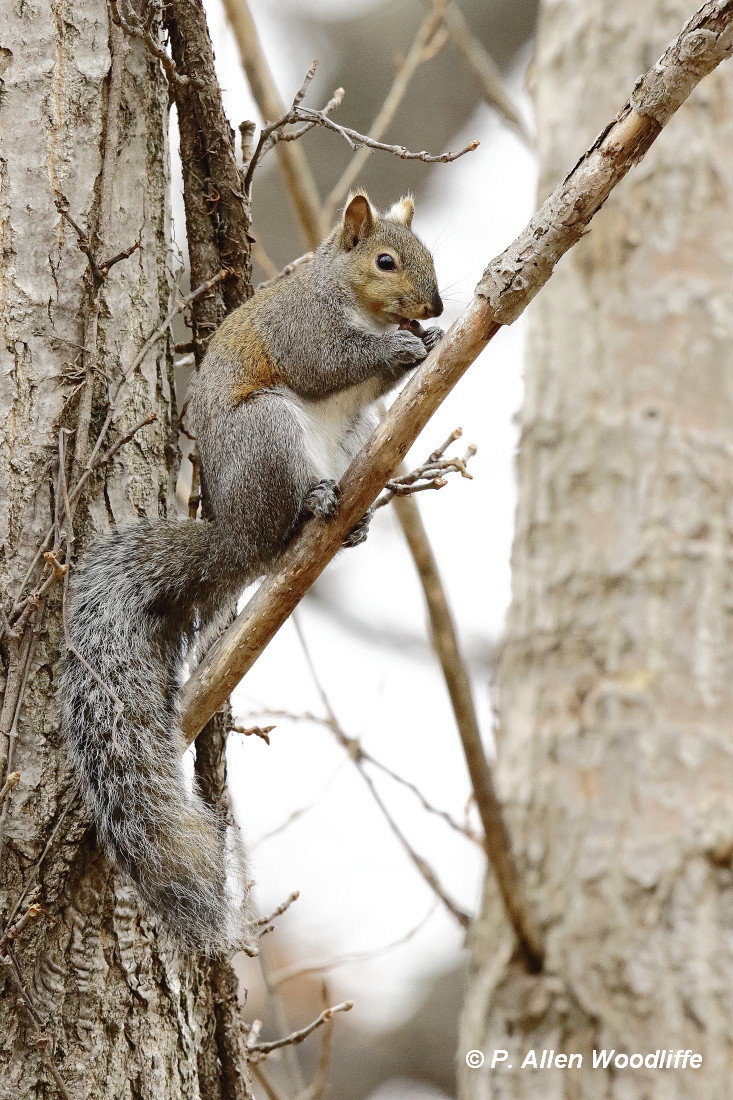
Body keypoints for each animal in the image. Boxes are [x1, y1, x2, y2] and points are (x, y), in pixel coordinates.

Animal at [58, 193, 440, 950]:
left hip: (349, 440)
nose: (436, 304)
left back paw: (352, 521)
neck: (341, 290)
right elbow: (328, 362)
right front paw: (401, 347)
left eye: (430, 256)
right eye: (385, 260)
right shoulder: (302, 330)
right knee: (281, 520)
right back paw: (313, 505)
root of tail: (236, 534)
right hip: (267, 435)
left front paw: (430, 341)